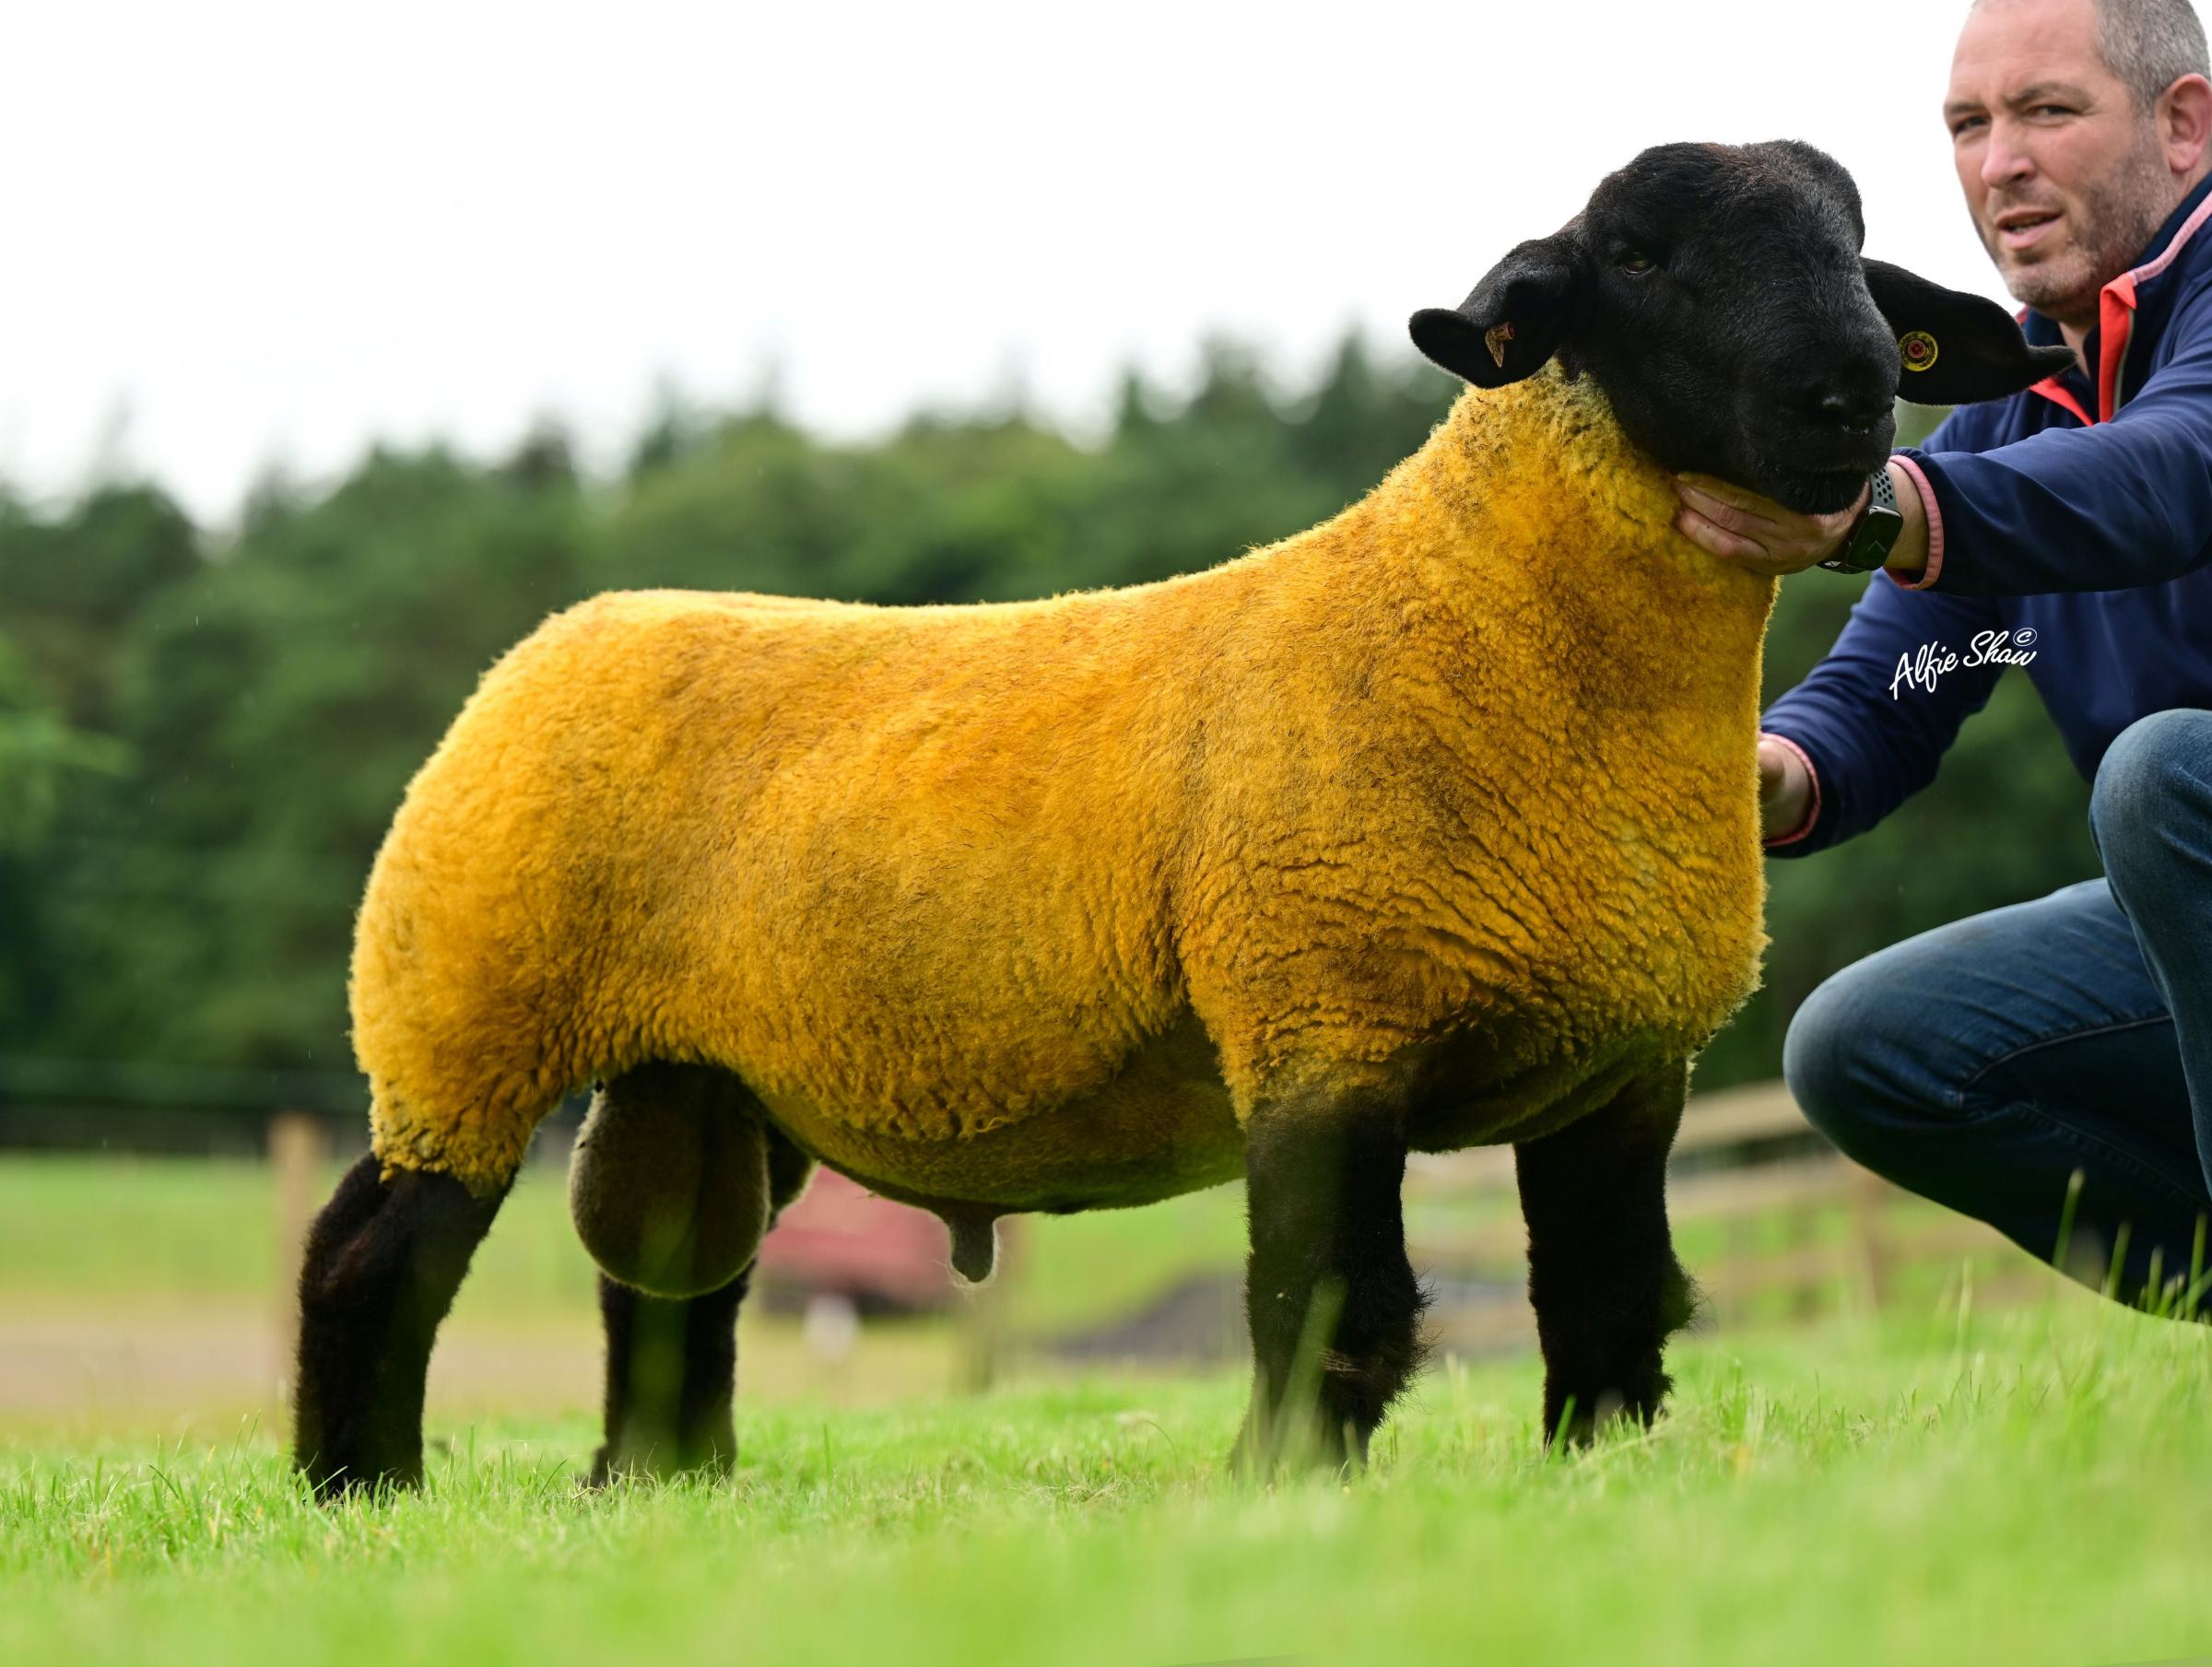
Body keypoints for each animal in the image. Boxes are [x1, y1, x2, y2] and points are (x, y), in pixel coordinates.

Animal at [285, 146, 2061, 1494]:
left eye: (1854, 252)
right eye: (1634, 254)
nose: (1849, 400)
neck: (1498, 623)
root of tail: (558, 637)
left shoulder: (1623, 1066)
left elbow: (1612, 1300)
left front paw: (1598, 1475)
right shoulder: (1321, 1017)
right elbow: (1324, 1302)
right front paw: (1284, 1489)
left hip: (688, 1070)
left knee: (670, 1275)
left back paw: (660, 1486)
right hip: (462, 1012)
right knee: (371, 1258)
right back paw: (361, 1491)